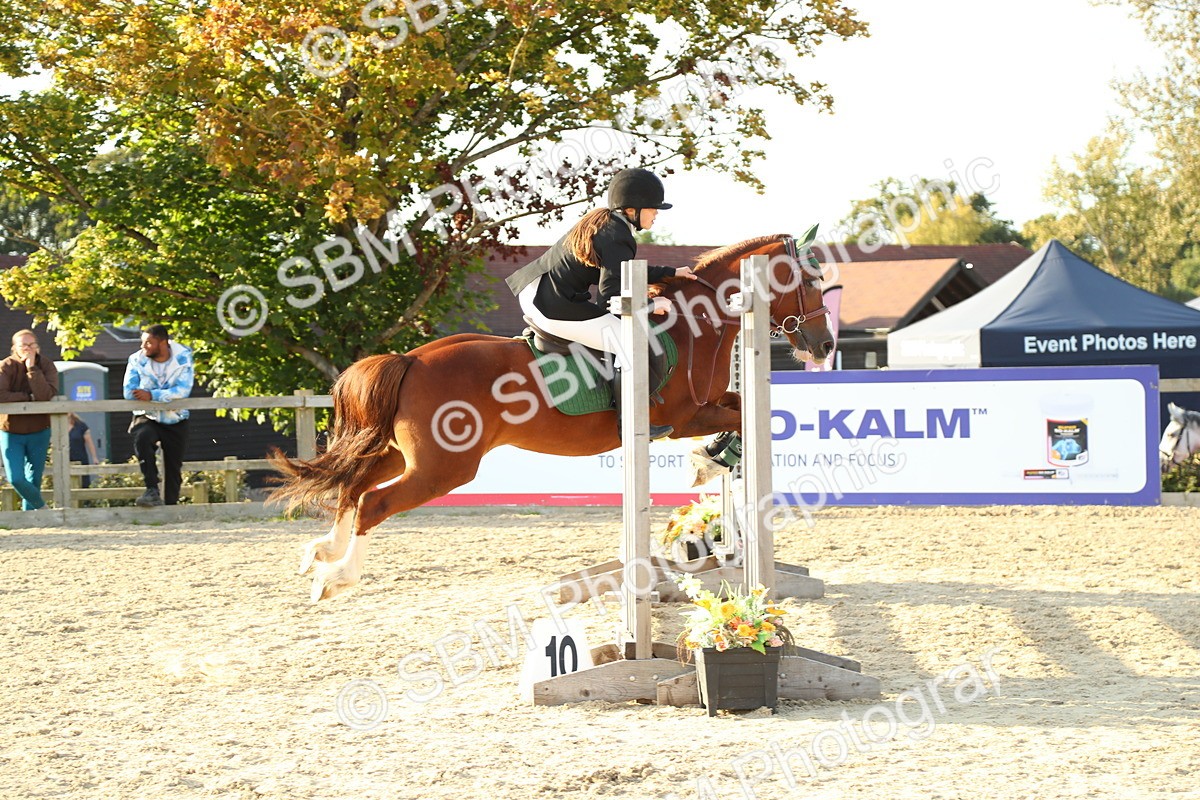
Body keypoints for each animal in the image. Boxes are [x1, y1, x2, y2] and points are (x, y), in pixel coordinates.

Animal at [269, 233, 835, 601]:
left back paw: (319, 552)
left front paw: (711, 459)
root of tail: (410, 360)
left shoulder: (703, 408)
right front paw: (710, 459)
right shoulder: (683, 415)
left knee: (354, 485)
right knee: (374, 502)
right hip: (444, 467)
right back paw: (335, 578)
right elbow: (736, 419)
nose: (825, 345)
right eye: (810, 280)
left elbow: (741, 413)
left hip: (402, 453)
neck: (692, 325)